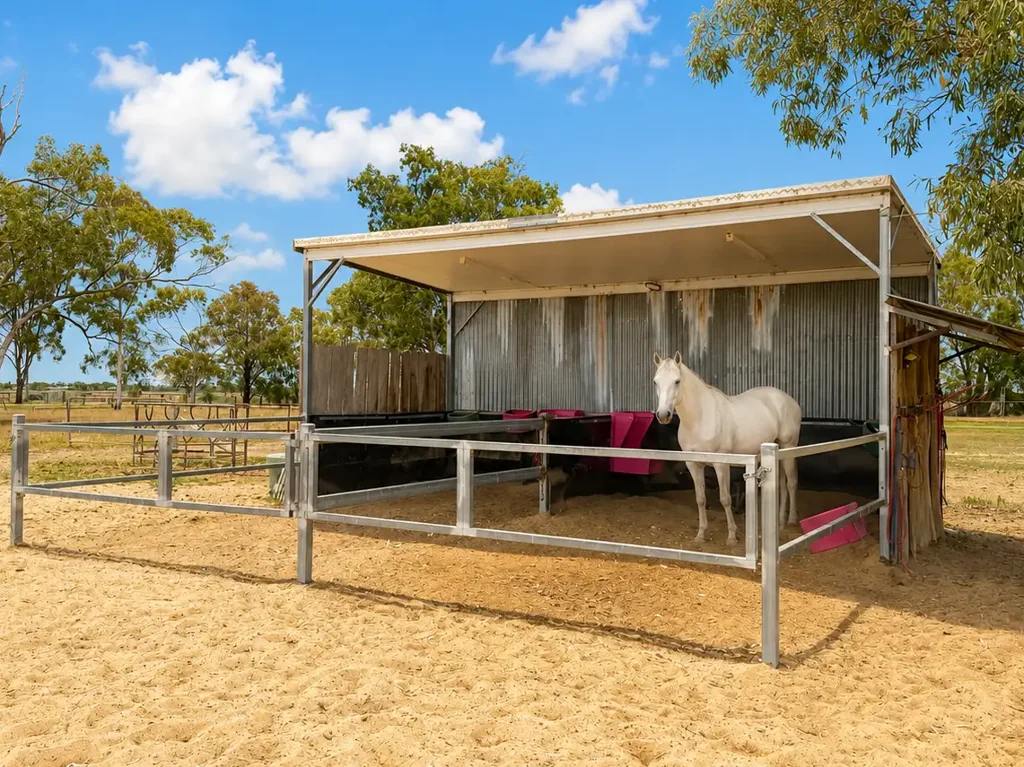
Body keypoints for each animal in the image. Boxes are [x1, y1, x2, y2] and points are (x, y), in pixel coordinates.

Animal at [653, 352, 802, 544]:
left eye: (677, 381)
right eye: (656, 382)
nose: (663, 415)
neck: (700, 418)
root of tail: (788, 400)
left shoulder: (721, 464)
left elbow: (725, 499)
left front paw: (731, 536)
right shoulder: (692, 464)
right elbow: (700, 498)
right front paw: (700, 534)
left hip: (789, 446)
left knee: (791, 483)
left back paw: (790, 521)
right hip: (779, 451)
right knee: (782, 484)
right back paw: (780, 522)